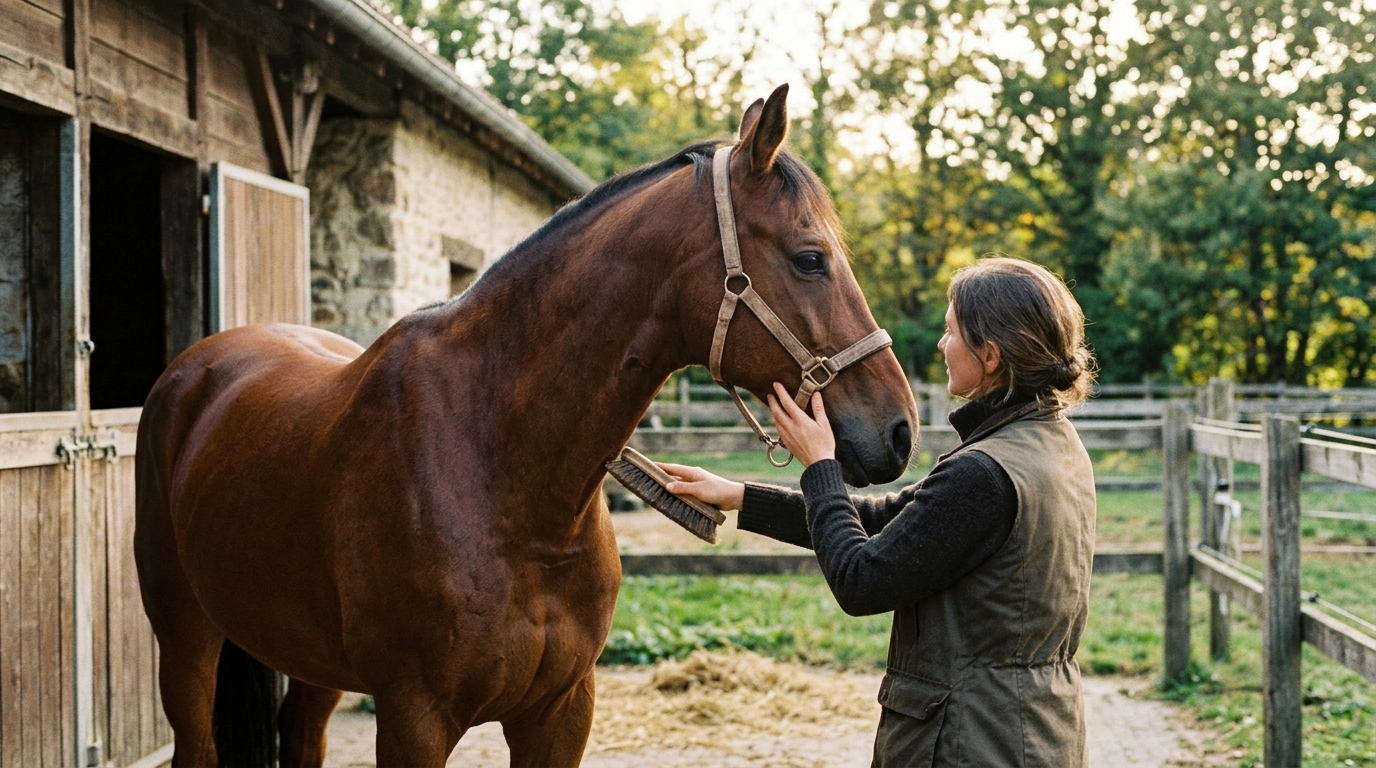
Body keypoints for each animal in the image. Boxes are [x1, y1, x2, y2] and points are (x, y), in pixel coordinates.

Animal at [135, 84, 918, 767]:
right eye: (810, 259)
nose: (901, 429)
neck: (499, 466)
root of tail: (197, 368)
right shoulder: (414, 716)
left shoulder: (561, 711)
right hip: (185, 636)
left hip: (309, 664)